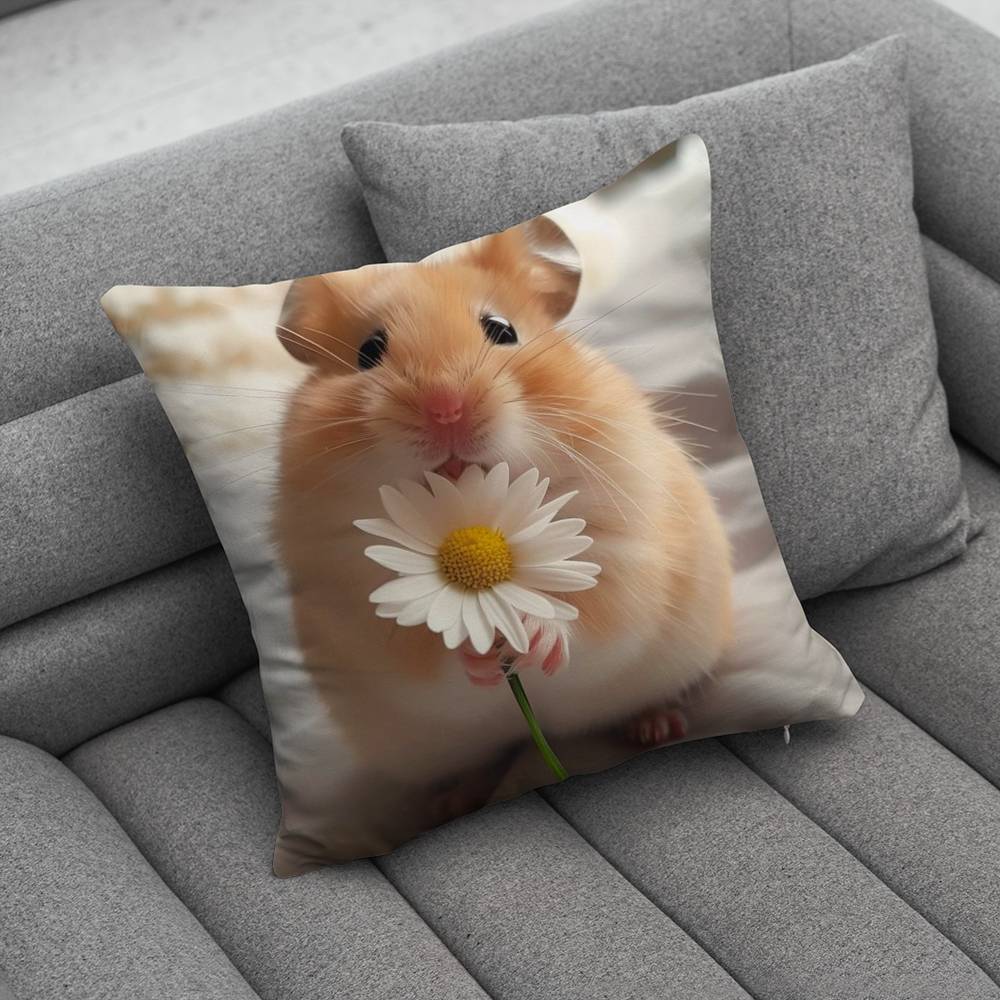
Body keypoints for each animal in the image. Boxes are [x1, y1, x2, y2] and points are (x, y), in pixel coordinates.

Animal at [272, 216, 732, 806]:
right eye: (368, 352)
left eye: (501, 330)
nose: (446, 409)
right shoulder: (359, 603)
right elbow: (432, 655)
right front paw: (481, 653)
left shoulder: (623, 553)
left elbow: (585, 620)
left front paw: (532, 636)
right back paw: (455, 797)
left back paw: (657, 727)